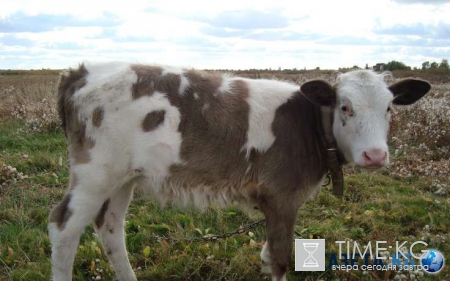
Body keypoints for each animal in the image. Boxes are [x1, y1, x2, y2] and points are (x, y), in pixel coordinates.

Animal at [47, 61, 430, 280]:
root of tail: (82, 72)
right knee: (64, 226)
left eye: (389, 108)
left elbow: (268, 256)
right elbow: (280, 259)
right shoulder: (282, 195)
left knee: (111, 228)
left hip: (122, 175)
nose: (375, 155)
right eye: (345, 107)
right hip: (96, 170)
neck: (309, 125)